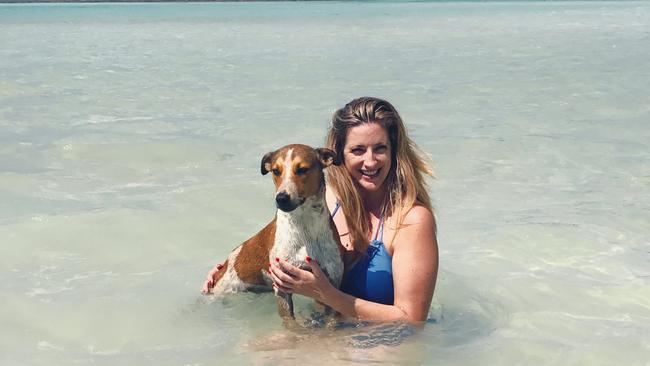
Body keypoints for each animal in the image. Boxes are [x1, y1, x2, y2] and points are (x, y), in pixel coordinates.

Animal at [208, 143, 344, 320]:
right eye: (276, 171)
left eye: (302, 169)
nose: (281, 198)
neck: (305, 227)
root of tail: (225, 263)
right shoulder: (282, 286)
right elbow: (289, 320)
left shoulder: (331, 282)